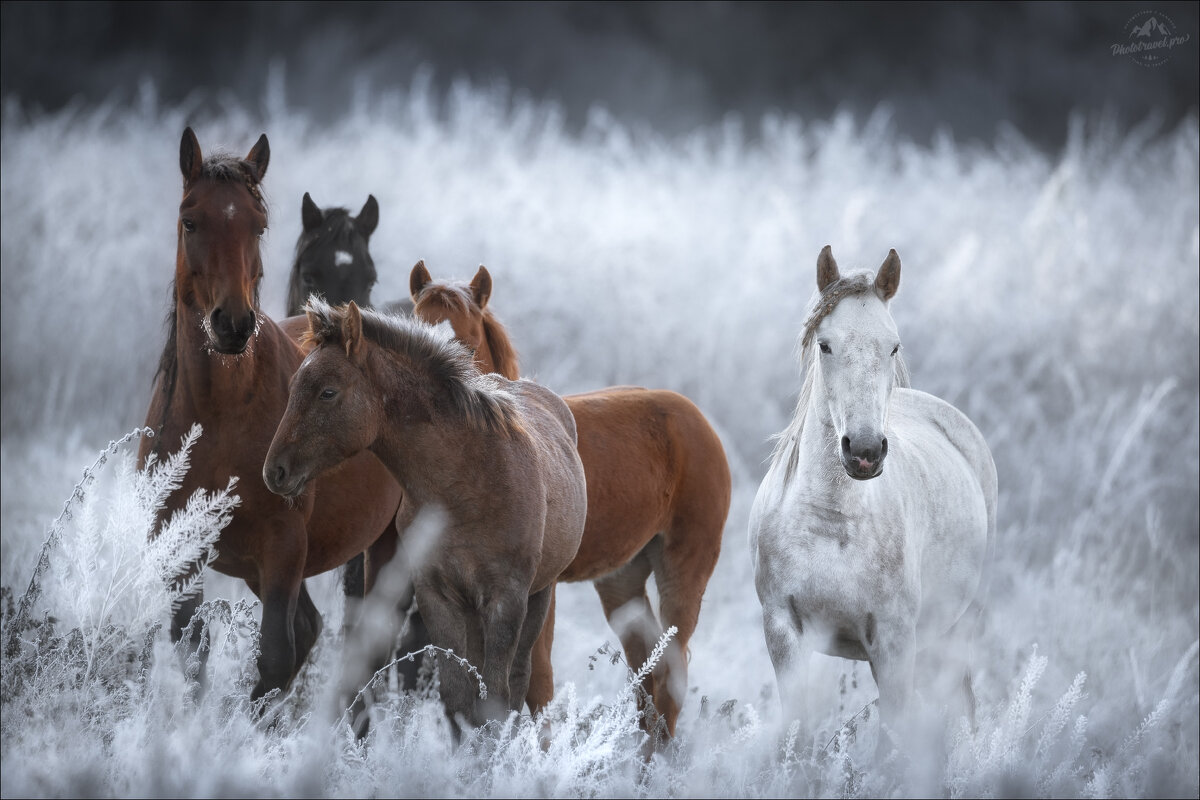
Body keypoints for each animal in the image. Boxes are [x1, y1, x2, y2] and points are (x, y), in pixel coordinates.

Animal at [140, 128, 403, 705]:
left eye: (258, 225)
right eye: (190, 220)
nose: (233, 324)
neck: (219, 417)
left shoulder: (283, 549)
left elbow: (276, 658)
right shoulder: (182, 553)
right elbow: (193, 654)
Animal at [262, 299, 585, 724]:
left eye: (328, 392)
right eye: (295, 385)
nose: (274, 471)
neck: (467, 485)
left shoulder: (506, 599)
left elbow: (496, 699)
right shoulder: (438, 597)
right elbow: (458, 697)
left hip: (539, 596)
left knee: (518, 680)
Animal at [412, 262, 729, 738]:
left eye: (466, 343)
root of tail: (698, 420)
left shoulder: (537, 588)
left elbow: (535, 682)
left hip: (683, 567)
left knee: (672, 673)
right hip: (622, 578)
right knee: (647, 671)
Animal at [748, 247, 993, 753]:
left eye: (893, 346)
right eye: (825, 345)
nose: (863, 451)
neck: (831, 522)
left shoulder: (894, 642)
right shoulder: (783, 632)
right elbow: (797, 736)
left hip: (954, 631)